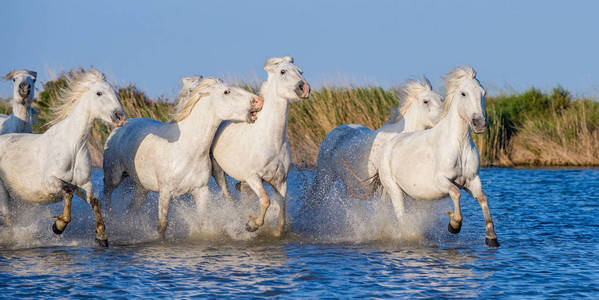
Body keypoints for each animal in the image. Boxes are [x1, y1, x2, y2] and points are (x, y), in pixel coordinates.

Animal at [0, 69, 125, 246]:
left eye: (115, 93)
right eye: (99, 93)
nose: (120, 117)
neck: (73, 145)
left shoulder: (84, 185)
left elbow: (95, 201)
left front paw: (101, 236)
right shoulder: (49, 182)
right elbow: (67, 191)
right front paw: (58, 226)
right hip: (3, 194)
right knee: (9, 220)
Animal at [102, 77, 262, 239]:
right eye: (227, 91)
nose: (258, 101)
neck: (186, 149)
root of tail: (121, 126)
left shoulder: (201, 191)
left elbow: (202, 221)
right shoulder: (165, 193)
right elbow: (162, 226)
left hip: (142, 188)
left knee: (131, 209)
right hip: (114, 177)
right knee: (107, 194)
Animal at [211, 55, 312, 234]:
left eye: (301, 71)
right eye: (283, 71)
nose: (304, 88)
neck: (272, 141)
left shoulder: (281, 181)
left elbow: (281, 213)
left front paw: (273, 231)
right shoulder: (253, 177)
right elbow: (265, 200)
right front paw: (251, 225)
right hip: (218, 171)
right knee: (228, 196)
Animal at [380, 65, 502, 246]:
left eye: (483, 93)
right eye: (463, 93)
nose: (479, 124)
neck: (459, 145)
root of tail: (391, 142)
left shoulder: (472, 179)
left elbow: (483, 199)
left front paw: (491, 237)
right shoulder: (441, 181)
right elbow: (456, 193)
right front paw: (454, 225)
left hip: (413, 195)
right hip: (394, 190)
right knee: (401, 216)